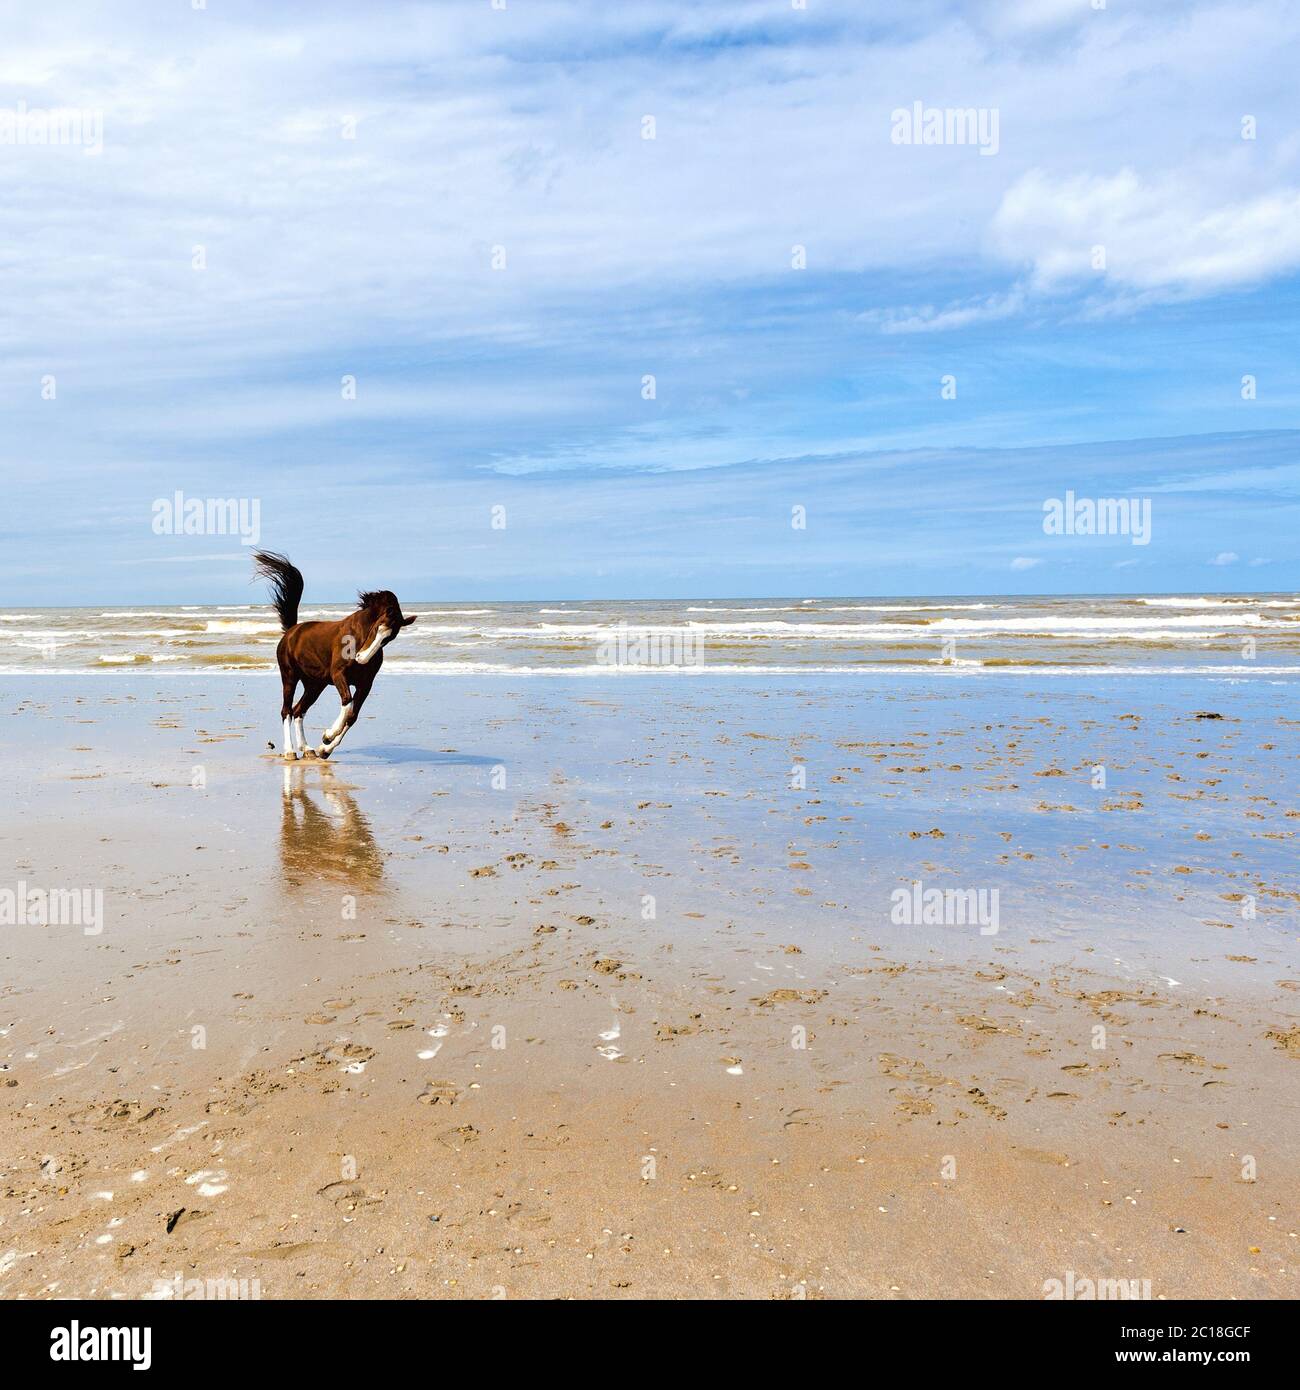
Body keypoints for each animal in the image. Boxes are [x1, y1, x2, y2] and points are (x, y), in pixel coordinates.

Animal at [252, 551, 416, 759]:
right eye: (377, 627)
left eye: (389, 638)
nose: (361, 658)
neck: (357, 636)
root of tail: (291, 631)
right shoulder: (338, 674)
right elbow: (347, 702)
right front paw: (328, 736)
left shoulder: (365, 685)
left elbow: (352, 717)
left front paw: (325, 748)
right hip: (289, 676)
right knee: (286, 710)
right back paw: (290, 751)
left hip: (314, 685)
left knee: (299, 711)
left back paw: (308, 749)